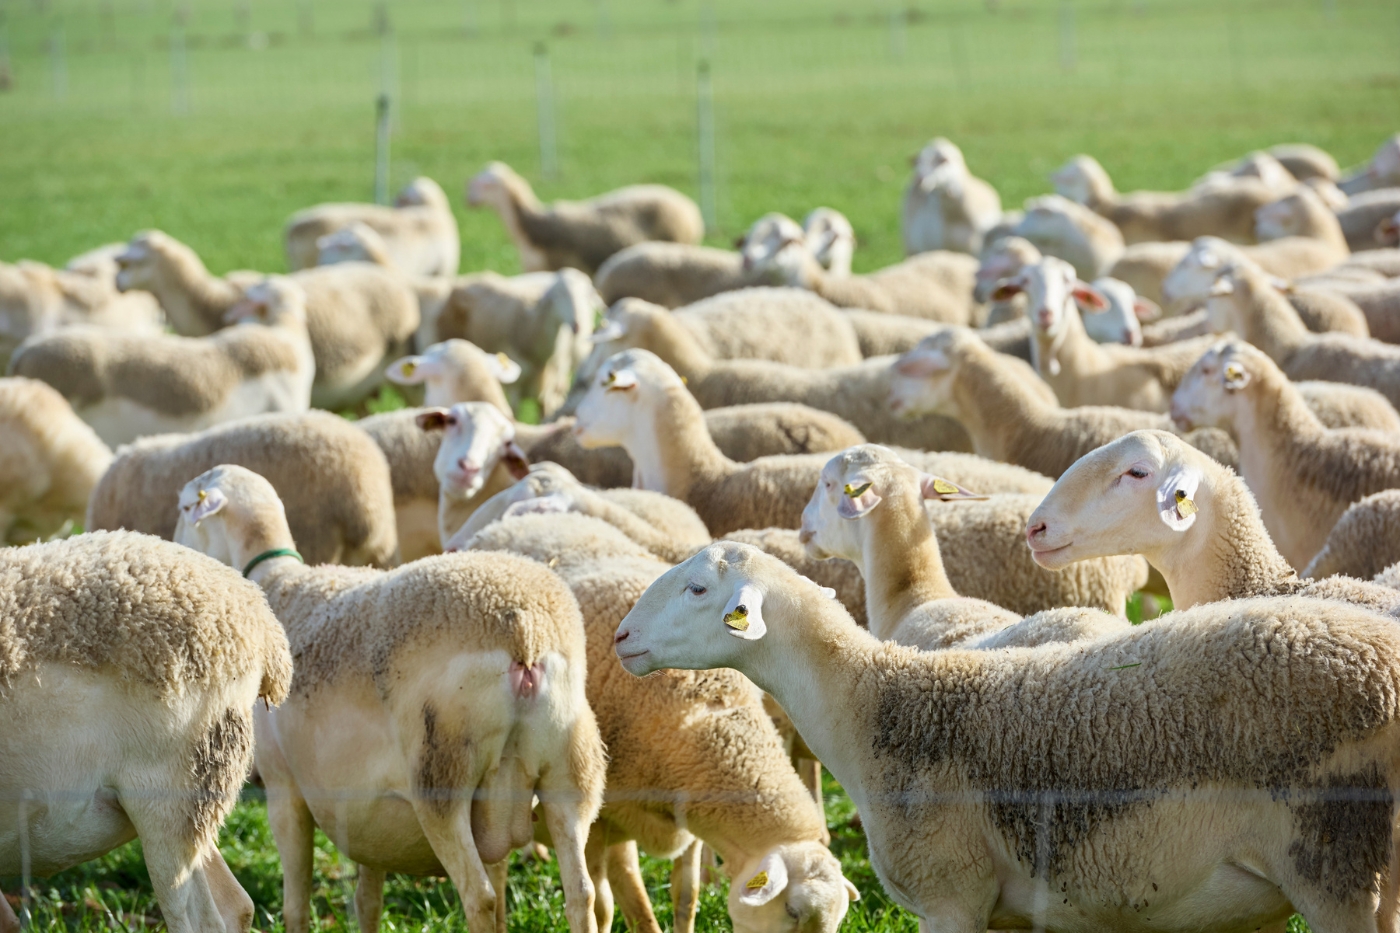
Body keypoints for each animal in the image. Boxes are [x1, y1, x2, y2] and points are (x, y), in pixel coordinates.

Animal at [173, 465, 604, 933]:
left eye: (186, 506)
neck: (277, 581)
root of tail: (525, 631)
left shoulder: (283, 785)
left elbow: (296, 906)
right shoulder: (367, 811)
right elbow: (368, 899)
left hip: (441, 776)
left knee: (481, 898)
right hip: (571, 771)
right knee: (581, 893)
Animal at [434, 267, 600, 418]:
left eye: (587, 294)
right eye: (559, 294)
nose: (577, 325)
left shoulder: (548, 386)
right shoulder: (516, 385)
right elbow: (515, 412)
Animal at [458, 513, 857, 933]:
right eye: (792, 912)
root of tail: (524, 519)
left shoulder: (691, 813)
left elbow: (686, 894)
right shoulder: (603, 822)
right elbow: (620, 904)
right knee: (496, 866)